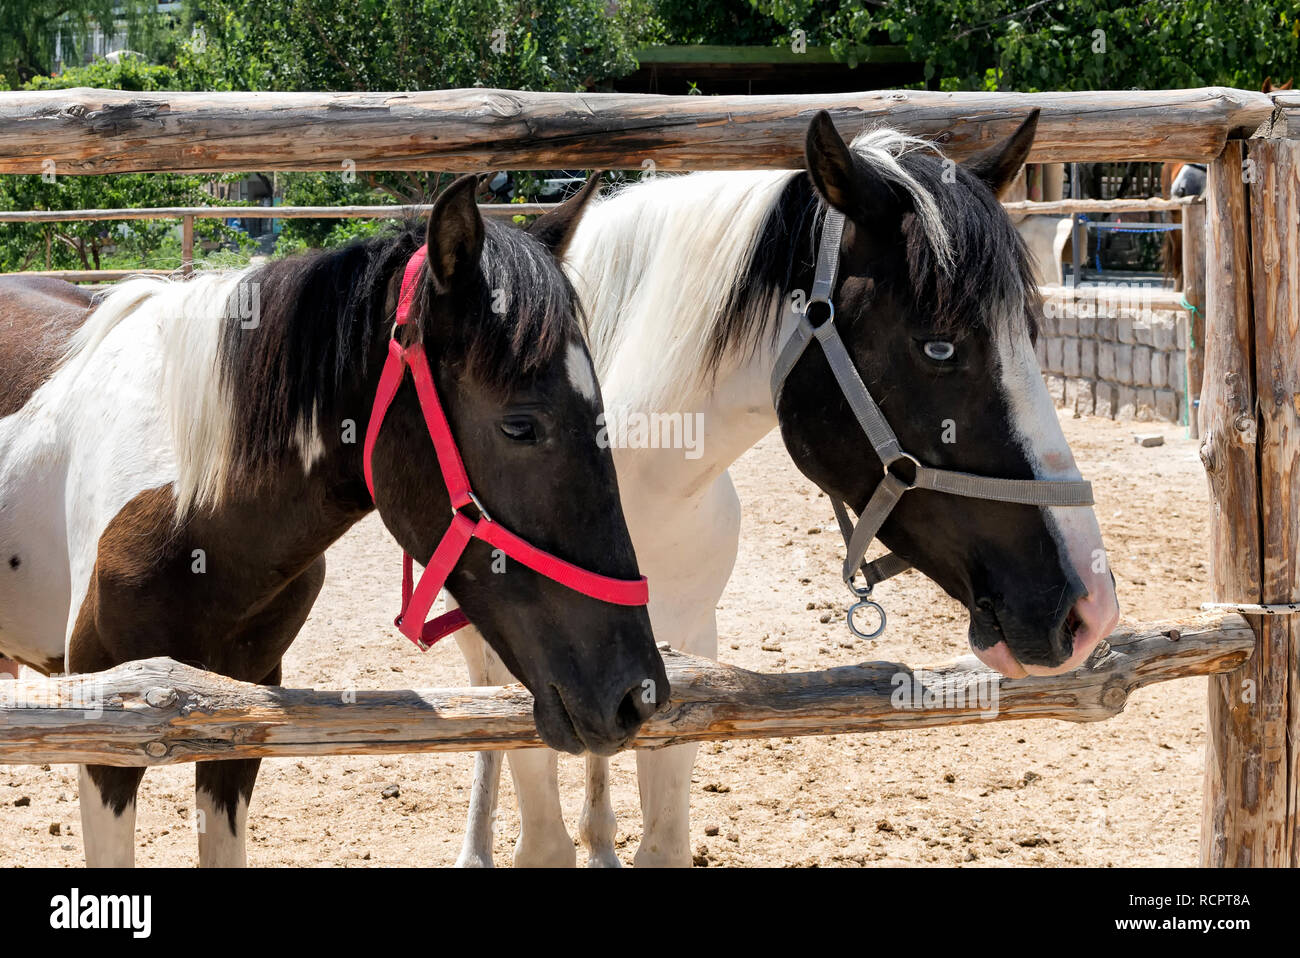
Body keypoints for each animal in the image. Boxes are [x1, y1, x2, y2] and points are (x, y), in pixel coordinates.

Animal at [449, 108, 1118, 863]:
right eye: (939, 346)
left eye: (1029, 332)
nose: (1089, 606)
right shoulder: (529, 676)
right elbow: (536, 824)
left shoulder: (681, 658)